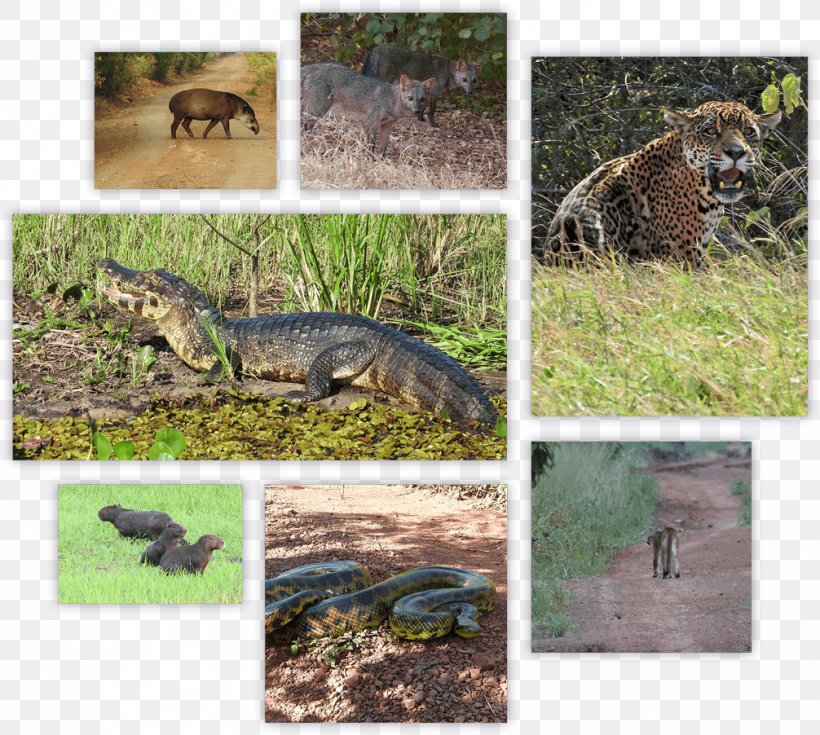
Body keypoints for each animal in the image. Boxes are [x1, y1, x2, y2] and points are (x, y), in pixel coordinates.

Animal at [298, 61, 432, 155]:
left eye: (422, 99)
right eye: (410, 98)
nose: (417, 111)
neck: (390, 101)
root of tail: (313, 66)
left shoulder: (387, 126)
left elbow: (382, 148)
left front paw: (380, 164)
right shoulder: (370, 123)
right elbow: (371, 146)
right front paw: (370, 161)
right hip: (319, 110)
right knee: (306, 127)